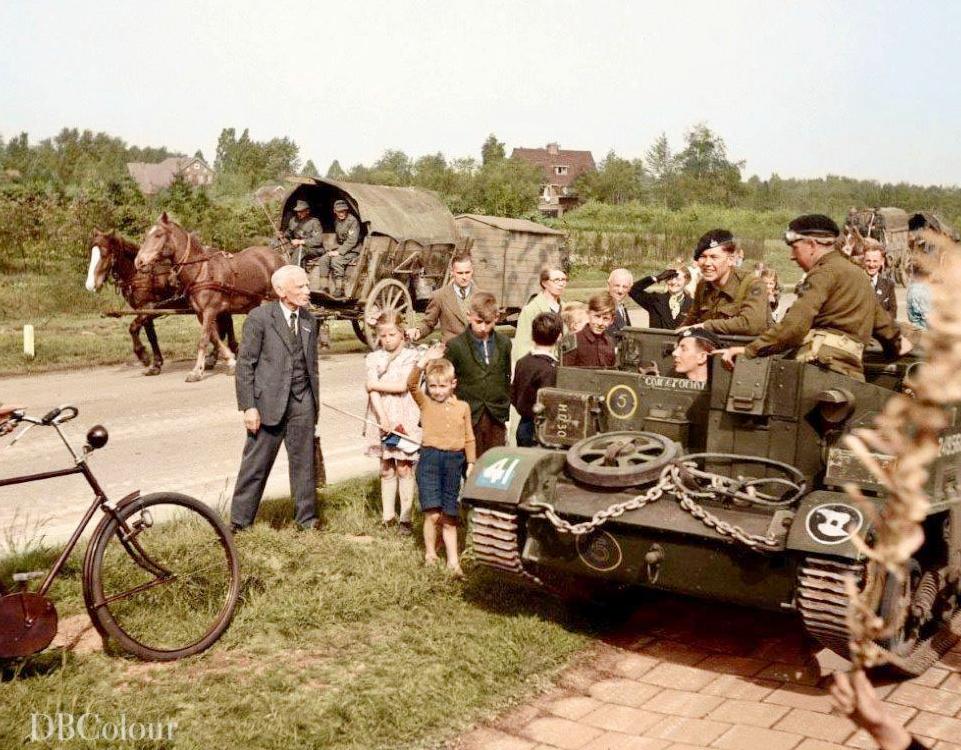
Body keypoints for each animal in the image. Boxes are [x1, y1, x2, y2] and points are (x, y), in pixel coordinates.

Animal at [86, 229, 236, 376]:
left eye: (104, 254)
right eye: (91, 253)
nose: (90, 285)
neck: (141, 275)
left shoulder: (151, 308)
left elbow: (133, 327)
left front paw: (143, 356)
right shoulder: (144, 311)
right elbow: (152, 336)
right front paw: (156, 364)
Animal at [136, 216, 284, 382]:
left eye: (158, 235)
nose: (139, 262)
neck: (201, 271)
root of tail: (278, 257)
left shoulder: (210, 310)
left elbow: (203, 340)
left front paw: (196, 372)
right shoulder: (202, 313)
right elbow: (214, 338)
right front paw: (231, 362)